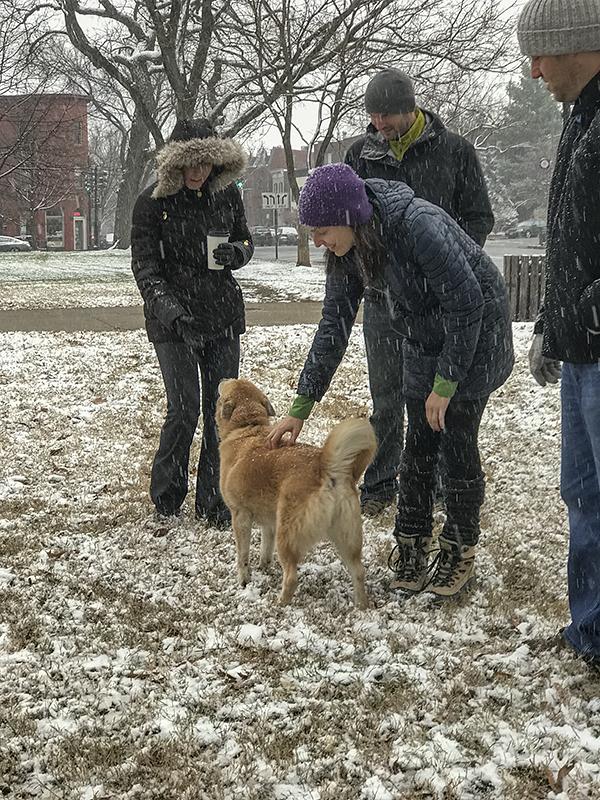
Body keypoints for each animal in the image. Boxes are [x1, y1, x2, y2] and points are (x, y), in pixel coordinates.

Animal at [216, 380, 376, 608]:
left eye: (228, 384)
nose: (223, 379)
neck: (248, 427)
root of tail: (325, 466)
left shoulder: (240, 515)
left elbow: (242, 556)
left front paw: (244, 580)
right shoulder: (269, 521)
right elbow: (265, 548)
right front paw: (264, 566)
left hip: (288, 535)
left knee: (291, 577)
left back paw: (279, 604)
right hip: (347, 538)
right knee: (359, 571)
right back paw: (360, 607)